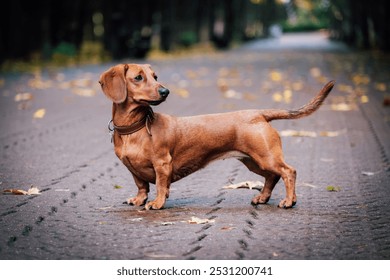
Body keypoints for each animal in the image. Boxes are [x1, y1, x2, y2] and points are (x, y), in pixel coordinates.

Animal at [99, 63, 334, 208]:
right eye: (138, 77)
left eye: (155, 77)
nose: (165, 91)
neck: (136, 128)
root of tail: (258, 113)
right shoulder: (133, 169)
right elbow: (142, 186)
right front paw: (138, 199)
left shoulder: (162, 164)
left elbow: (160, 186)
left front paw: (157, 203)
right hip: (254, 161)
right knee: (272, 177)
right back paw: (263, 198)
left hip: (266, 157)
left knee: (288, 172)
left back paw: (289, 201)